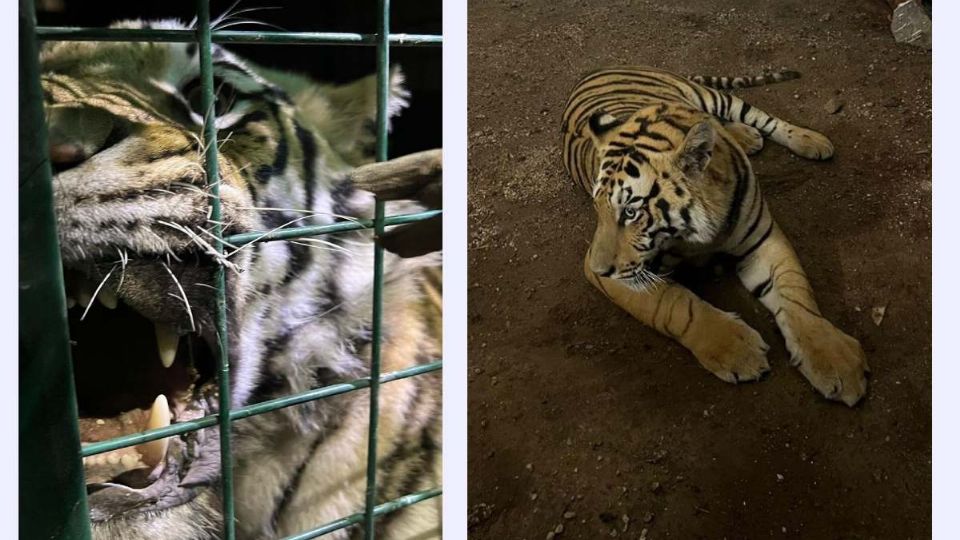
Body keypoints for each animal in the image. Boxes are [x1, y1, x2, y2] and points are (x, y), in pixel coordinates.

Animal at [564, 66, 872, 404]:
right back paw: (746, 137)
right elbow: (676, 305)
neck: (695, 234)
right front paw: (737, 350)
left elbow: (796, 293)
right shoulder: (624, 275)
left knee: (760, 118)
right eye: (598, 207)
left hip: (714, 98)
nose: (598, 270)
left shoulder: (763, 239)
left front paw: (835, 358)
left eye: (631, 212)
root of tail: (598, 69)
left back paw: (809, 140)